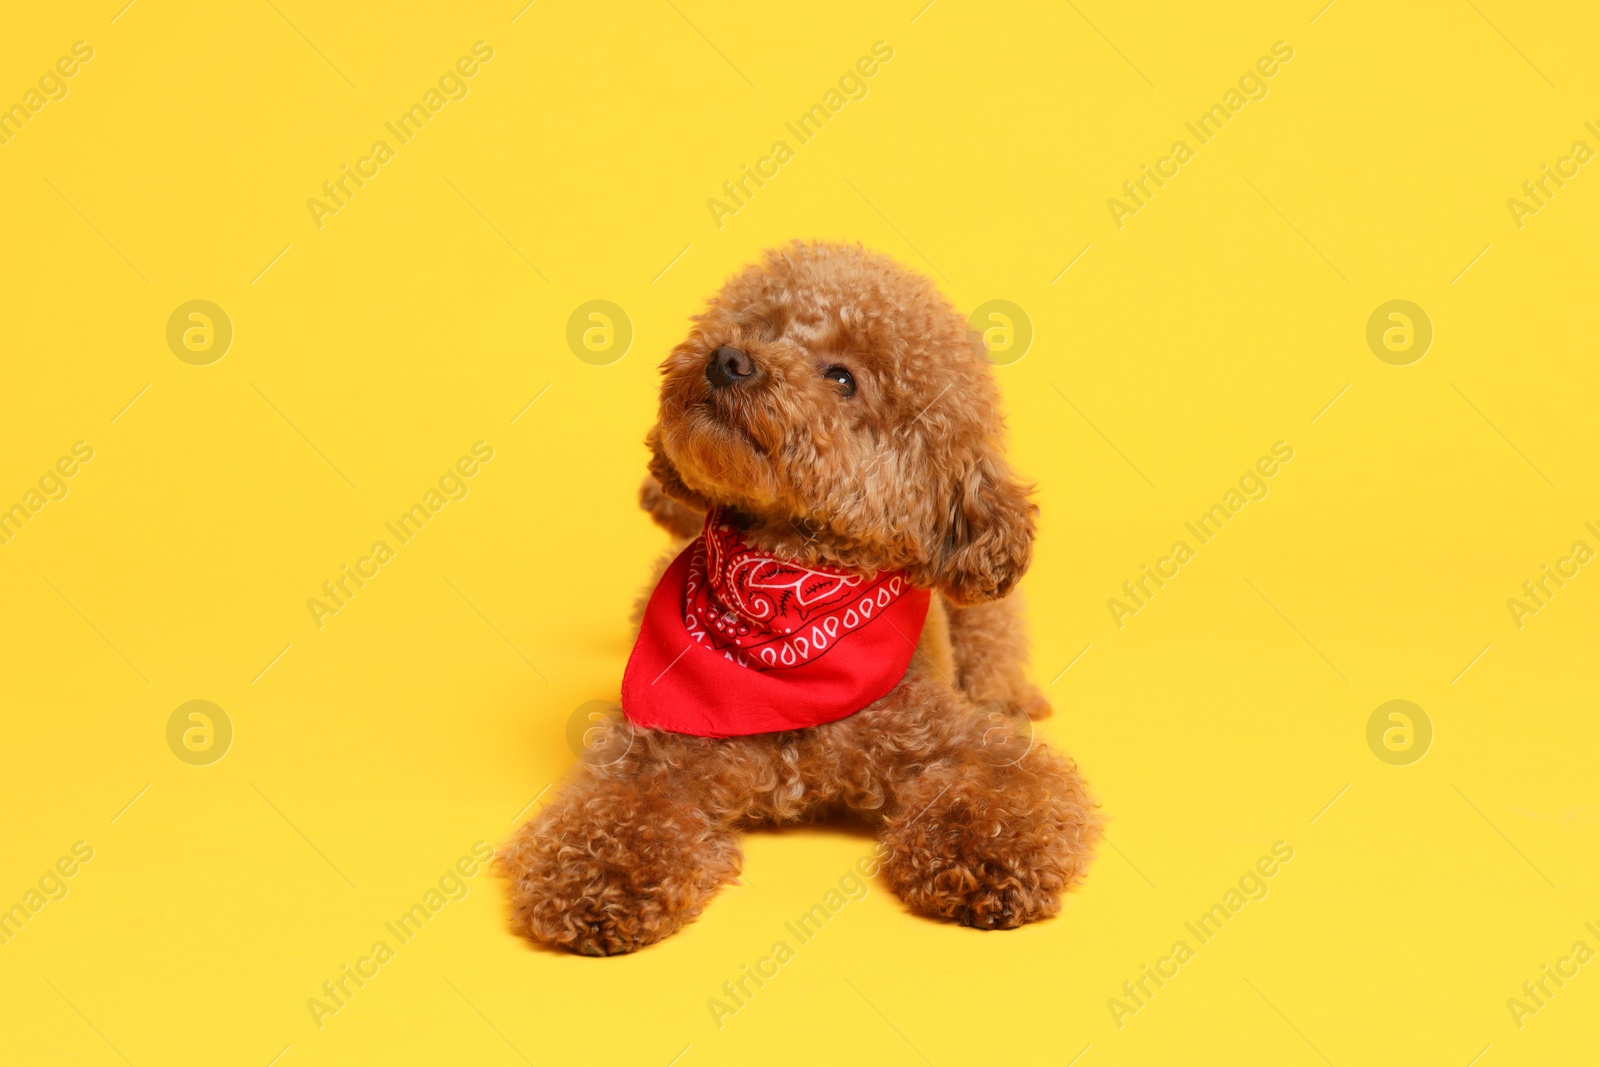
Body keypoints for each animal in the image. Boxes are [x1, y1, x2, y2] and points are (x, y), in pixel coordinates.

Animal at [499, 244, 1100, 959]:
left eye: (843, 379)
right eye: (759, 327)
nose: (729, 358)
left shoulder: (957, 739)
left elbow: (1007, 787)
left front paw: (988, 859)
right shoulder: (649, 754)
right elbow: (615, 812)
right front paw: (597, 878)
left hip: (981, 618)